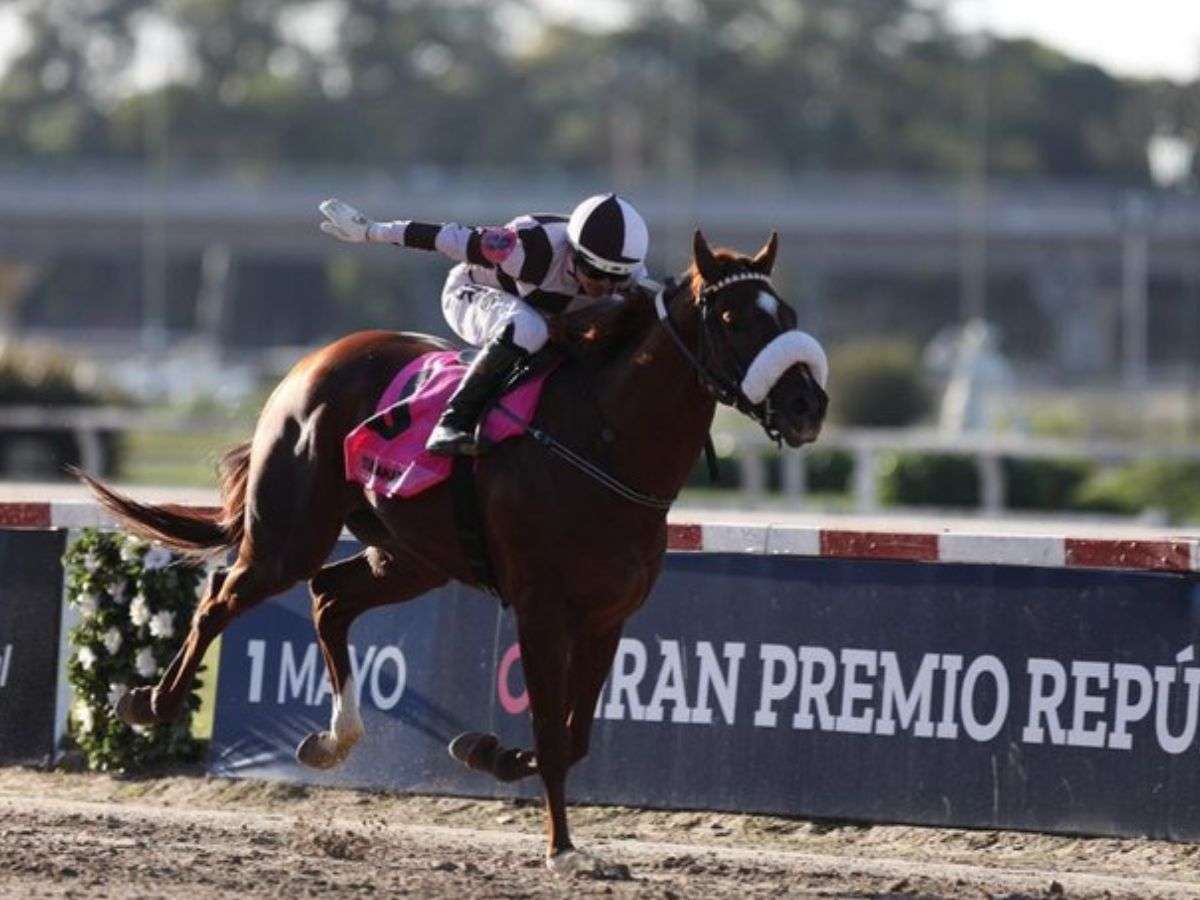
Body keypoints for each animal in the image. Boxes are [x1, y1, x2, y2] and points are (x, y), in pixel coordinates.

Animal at [82, 230, 825, 873]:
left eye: (786, 313)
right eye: (733, 319)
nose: (808, 405)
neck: (604, 442)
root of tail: (311, 362)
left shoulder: (608, 615)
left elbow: (576, 735)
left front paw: (486, 751)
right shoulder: (541, 608)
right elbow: (553, 734)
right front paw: (562, 849)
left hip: (412, 558)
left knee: (329, 599)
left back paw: (334, 738)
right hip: (288, 540)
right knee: (221, 599)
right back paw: (151, 703)